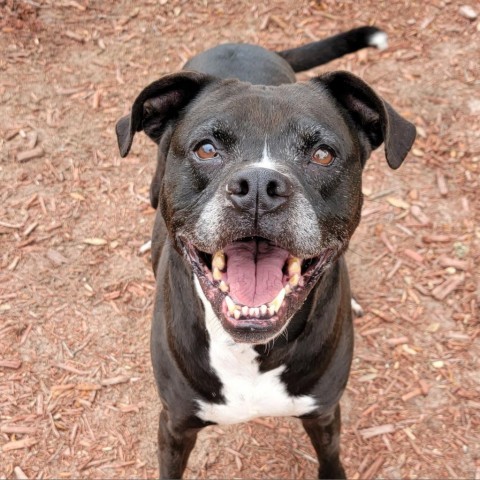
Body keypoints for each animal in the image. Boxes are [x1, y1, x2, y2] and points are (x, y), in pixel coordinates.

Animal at [116, 27, 416, 480]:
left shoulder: (324, 414)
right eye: (206, 149)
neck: (249, 351)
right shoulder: (175, 424)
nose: (259, 186)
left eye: (322, 154)